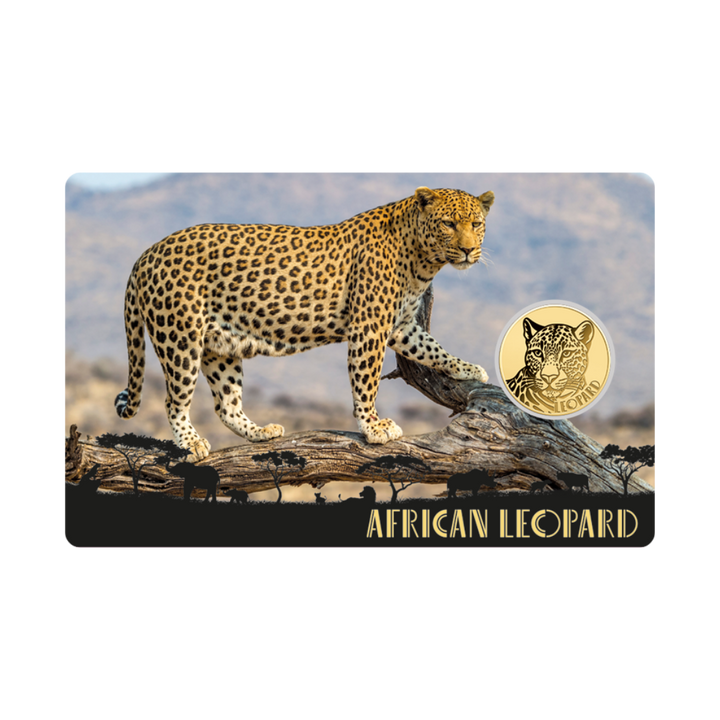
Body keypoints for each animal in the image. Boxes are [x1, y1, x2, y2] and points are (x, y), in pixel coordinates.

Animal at [115, 186, 494, 460]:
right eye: (448, 224)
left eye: (475, 224)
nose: (468, 250)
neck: (423, 261)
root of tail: (145, 254)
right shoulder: (369, 327)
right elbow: (366, 381)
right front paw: (373, 427)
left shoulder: (401, 326)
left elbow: (433, 349)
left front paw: (468, 368)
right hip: (180, 339)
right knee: (174, 401)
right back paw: (191, 443)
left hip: (219, 347)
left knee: (226, 404)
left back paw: (260, 433)